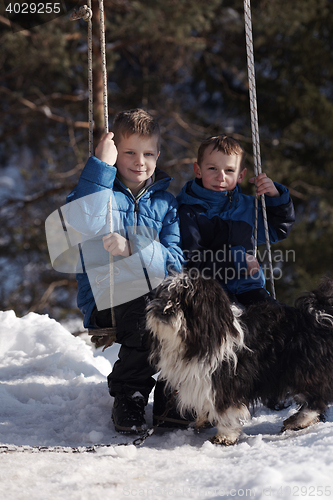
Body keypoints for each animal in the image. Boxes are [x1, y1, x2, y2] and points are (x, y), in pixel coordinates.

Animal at [147, 274, 332, 446]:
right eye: (164, 296)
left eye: (183, 302)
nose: (163, 310)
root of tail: (317, 317)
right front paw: (203, 419)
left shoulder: (225, 381)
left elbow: (225, 410)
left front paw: (224, 436)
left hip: (302, 370)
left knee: (318, 397)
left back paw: (299, 420)